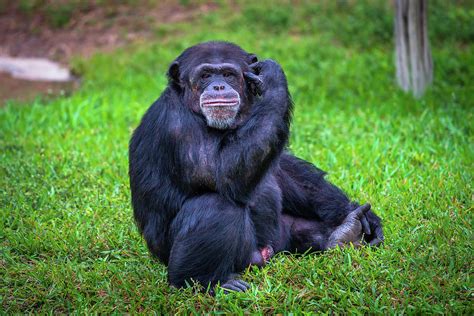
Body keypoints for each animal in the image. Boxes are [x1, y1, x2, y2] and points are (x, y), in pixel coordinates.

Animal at [130, 40, 386, 292]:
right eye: (205, 75)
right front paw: (272, 77)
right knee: (216, 203)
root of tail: (262, 254)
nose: (218, 86)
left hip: (278, 238)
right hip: (236, 257)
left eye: (228, 74)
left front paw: (362, 215)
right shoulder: (176, 125)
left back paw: (344, 234)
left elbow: (278, 163)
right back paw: (206, 281)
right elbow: (224, 174)